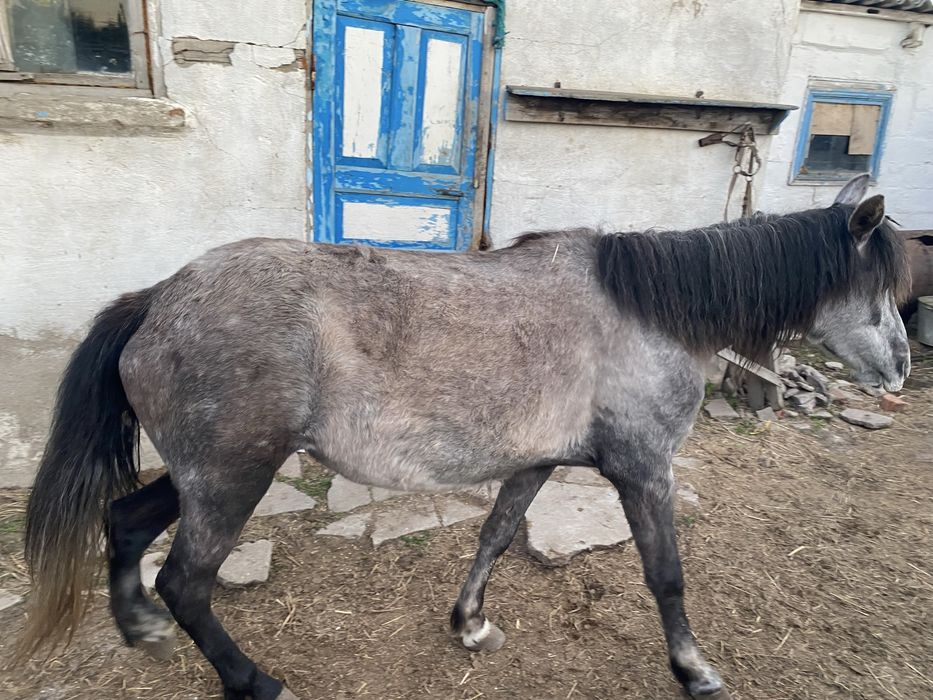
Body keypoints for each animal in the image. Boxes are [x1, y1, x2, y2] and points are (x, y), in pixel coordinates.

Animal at [16, 174, 910, 699]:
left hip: (206, 475)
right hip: (234, 479)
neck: (646, 312)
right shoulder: (643, 470)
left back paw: (139, 629)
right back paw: (252, 681)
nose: (901, 367)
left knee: (126, 524)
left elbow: (494, 537)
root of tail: (159, 298)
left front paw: (469, 623)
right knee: (187, 582)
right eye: (875, 287)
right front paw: (693, 670)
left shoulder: (537, 463)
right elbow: (666, 578)